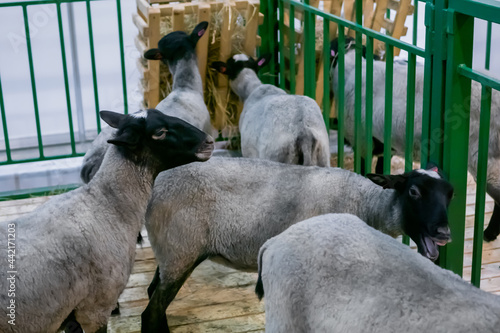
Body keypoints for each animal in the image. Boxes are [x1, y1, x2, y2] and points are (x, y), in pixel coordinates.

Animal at [140, 156, 454, 332]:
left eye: (450, 193)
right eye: (413, 191)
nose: (444, 233)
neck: (366, 204)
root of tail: (157, 183)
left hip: (170, 253)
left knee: (153, 296)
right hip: (180, 249)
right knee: (150, 313)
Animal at [328, 38, 500, 241]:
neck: (351, 69)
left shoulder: (361, 141)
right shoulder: (383, 144)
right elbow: (381, 170)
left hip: (488, 162)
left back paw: (489, 234)